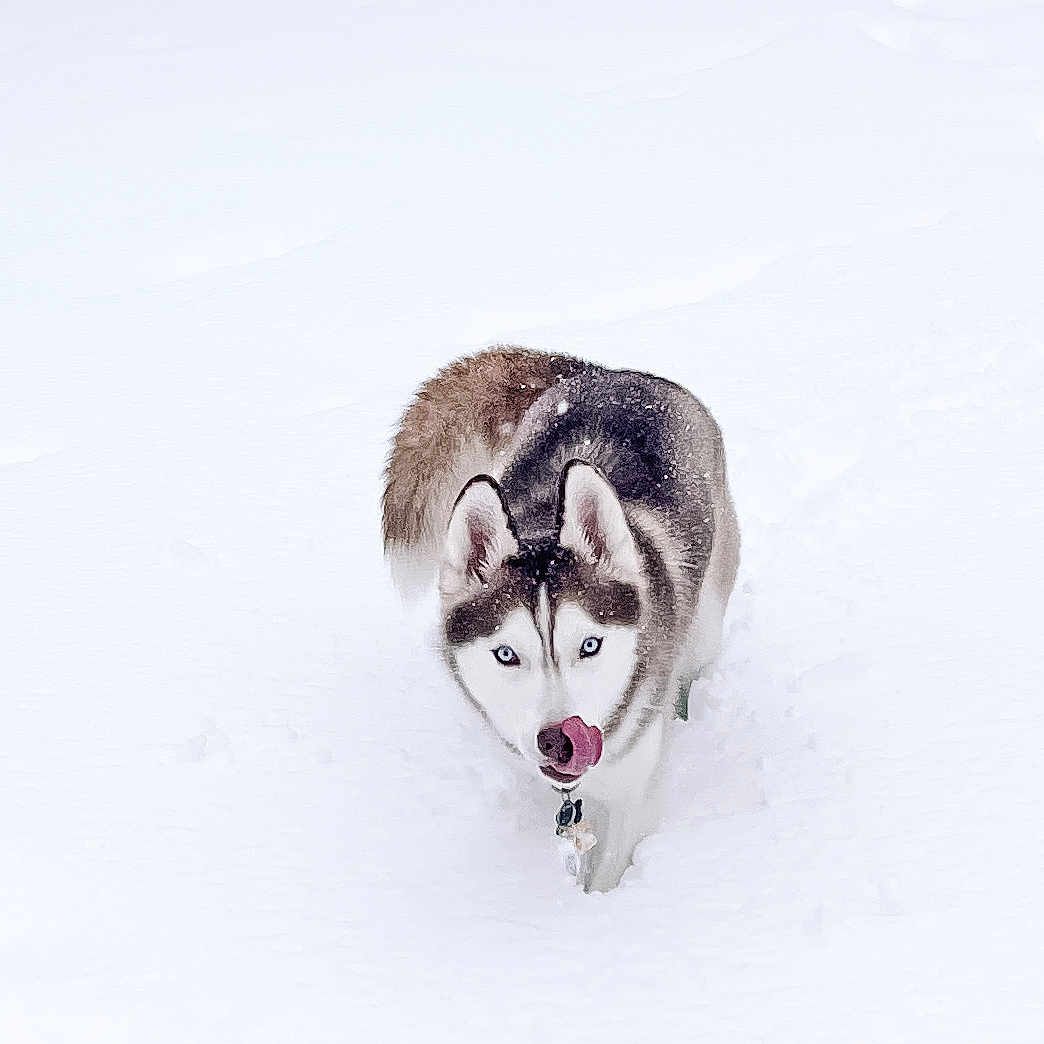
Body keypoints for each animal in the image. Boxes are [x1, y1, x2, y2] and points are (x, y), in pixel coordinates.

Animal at [382, 346, 739, 891]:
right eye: (506, 654)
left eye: (589, 645)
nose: (559, 740)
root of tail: (602, 372)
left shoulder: (631, 793)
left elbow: (608, 870)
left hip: (707, 621)